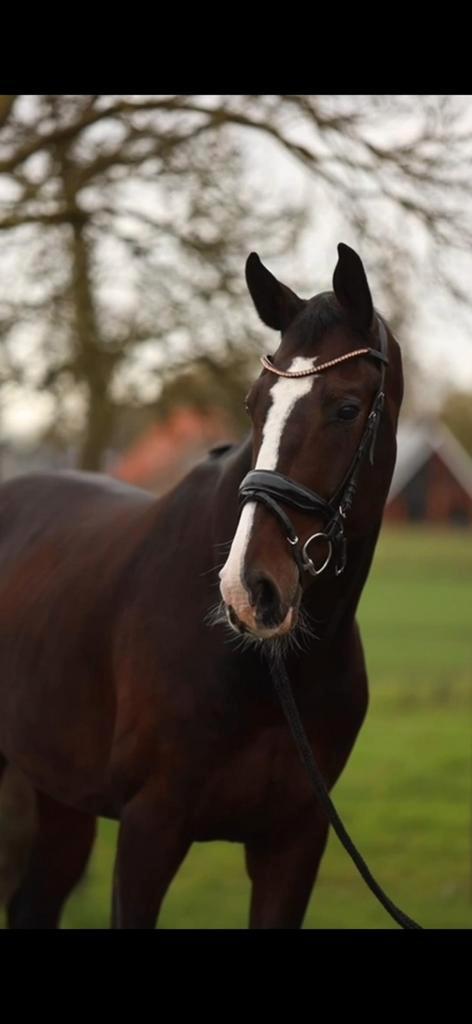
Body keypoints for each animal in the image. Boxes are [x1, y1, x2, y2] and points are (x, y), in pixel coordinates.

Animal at [0, 243, 403, 929]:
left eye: (347, 408)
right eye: (253, 404)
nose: (249, 590)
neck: (270, 672)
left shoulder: (294, 839)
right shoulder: (149, 828)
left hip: (59, 796)